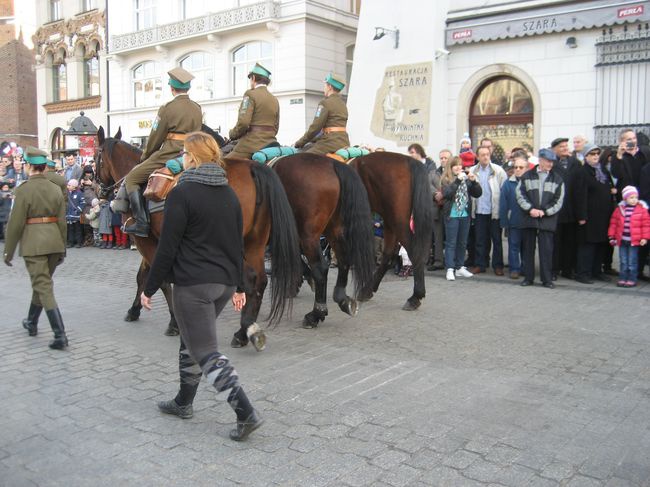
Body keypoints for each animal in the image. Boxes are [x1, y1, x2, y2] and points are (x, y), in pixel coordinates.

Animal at [95, 127, 302, 348]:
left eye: (96, 157)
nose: (100, 190)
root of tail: (253, 167)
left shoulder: (144, 240)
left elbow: (160, 281)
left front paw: (174, 322)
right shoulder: (156, 241)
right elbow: (143, 276)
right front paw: (134, 310)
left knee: (250, 279)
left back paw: (243, 330)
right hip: (255, 243)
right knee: (260, 281)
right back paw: (243, 331)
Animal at [272, 152, 374, 328]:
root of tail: (332, 164)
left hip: (309, 235)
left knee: (320, 267)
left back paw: (316, 313)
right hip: (334, 229)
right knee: (344, 259)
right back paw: (342, 299)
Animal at [346, 152, 432, 310]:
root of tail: (408, 160)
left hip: (397, 220)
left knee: (411, 251)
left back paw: (415, 297)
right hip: (390, 220)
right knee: (388, 253)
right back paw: (367, 290)